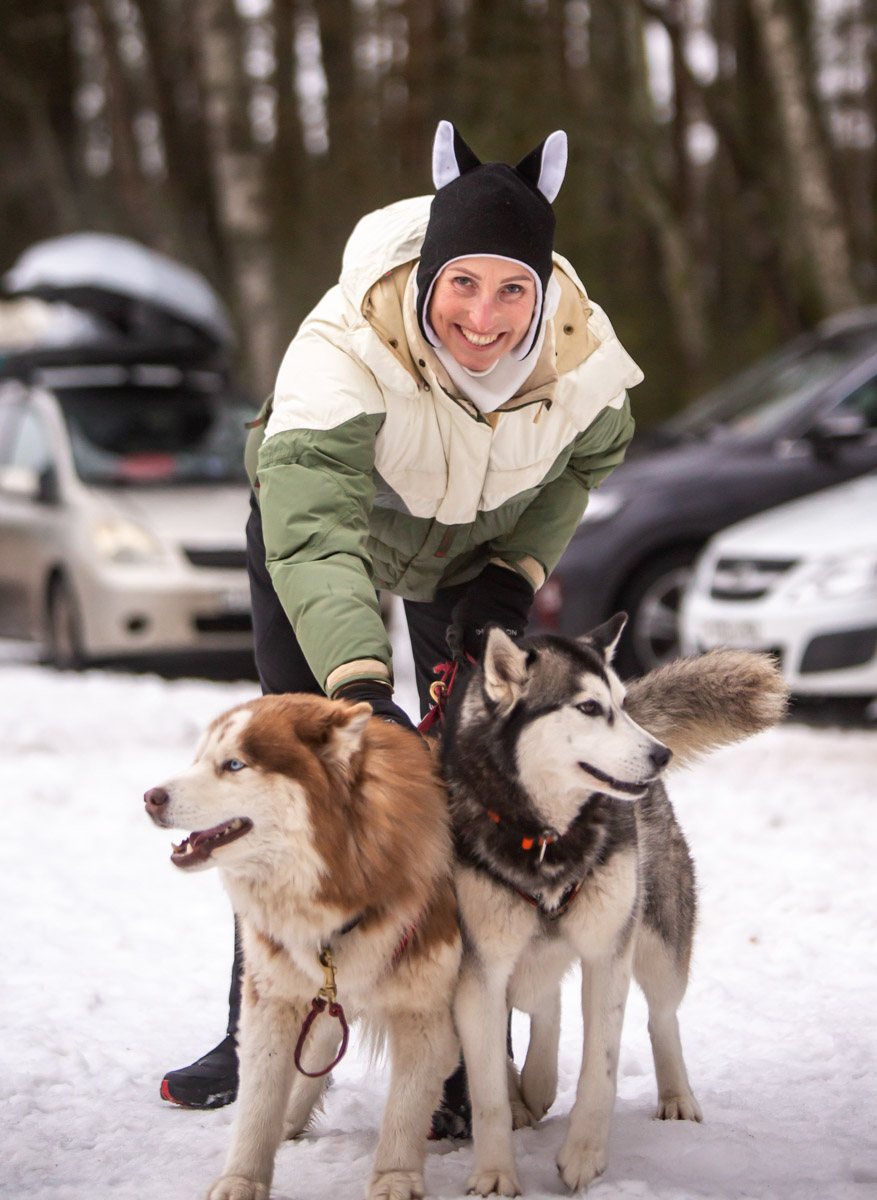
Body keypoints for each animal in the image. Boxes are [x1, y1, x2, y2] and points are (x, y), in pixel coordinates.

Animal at [143, 696, 460, 1200]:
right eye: (199, 759)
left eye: (234, 765)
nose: (151, 797)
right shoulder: (274, 995)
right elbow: (260, 1097)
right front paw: (243, 1177)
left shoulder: (424, 1008)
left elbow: (406, 1107)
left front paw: (395, 1177)